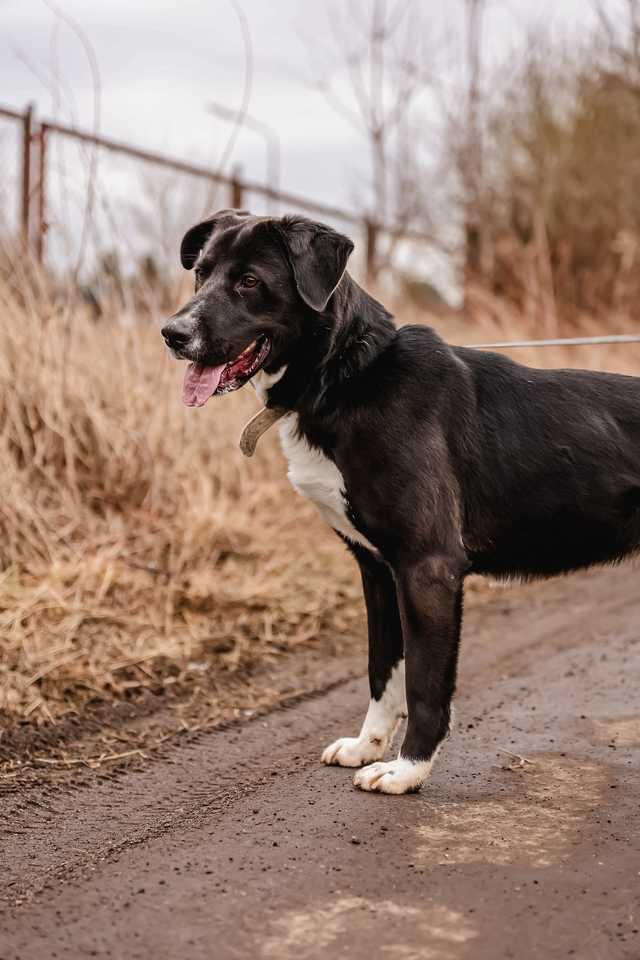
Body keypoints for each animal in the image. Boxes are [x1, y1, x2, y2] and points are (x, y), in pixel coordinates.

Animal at [161, 210, 640, 796]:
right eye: (201, 273)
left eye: (249, 281)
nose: (172, 333)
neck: (344, 375)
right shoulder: (377, 570)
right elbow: (382, 672)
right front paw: (367, 746)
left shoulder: (427, 567)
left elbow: (425, 685)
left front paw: (407, 769)